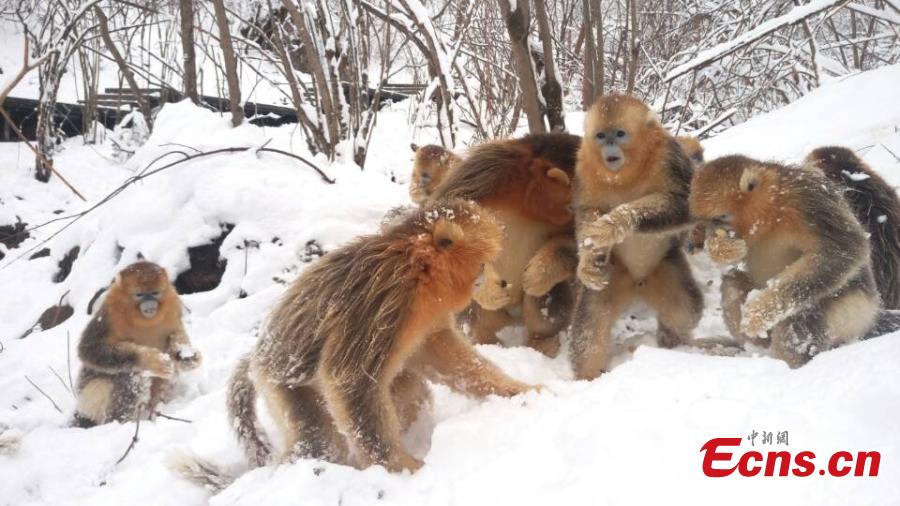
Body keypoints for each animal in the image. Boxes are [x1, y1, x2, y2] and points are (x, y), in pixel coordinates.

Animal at [73, 261, 201, 427]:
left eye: (154, 293)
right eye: (139, 295)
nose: (149, 304)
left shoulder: (173, 305)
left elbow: (175, 335)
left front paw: (186, 357)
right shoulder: (109, 313)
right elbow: (90, 350)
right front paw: (151, 360)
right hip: (90, 396)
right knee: (130, 375)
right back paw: (120, 422)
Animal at [224, 200, 535, 473]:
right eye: (483, 265)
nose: (502, 283)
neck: (416, 268)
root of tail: (258, 354)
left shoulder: (425, 317)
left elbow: (444, 356)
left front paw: (516, 391)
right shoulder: (383, 304)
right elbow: (349, 381)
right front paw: (404, 469)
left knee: (409, 390)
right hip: (283, 386)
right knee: (321, 439)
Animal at [570, 94, 702, 380]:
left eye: (619, 134)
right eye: (601, 136)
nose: (609, 148)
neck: (625, 174)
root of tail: (638, 283)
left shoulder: (669, 155)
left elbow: (687, 205)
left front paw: (616, 223)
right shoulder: (584, 166)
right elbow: (587, 212)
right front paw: (587, 263)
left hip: (665, 267)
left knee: (684, 310)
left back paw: (672, 343)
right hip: (615, 276)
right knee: (589, 328)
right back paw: (588, 376)